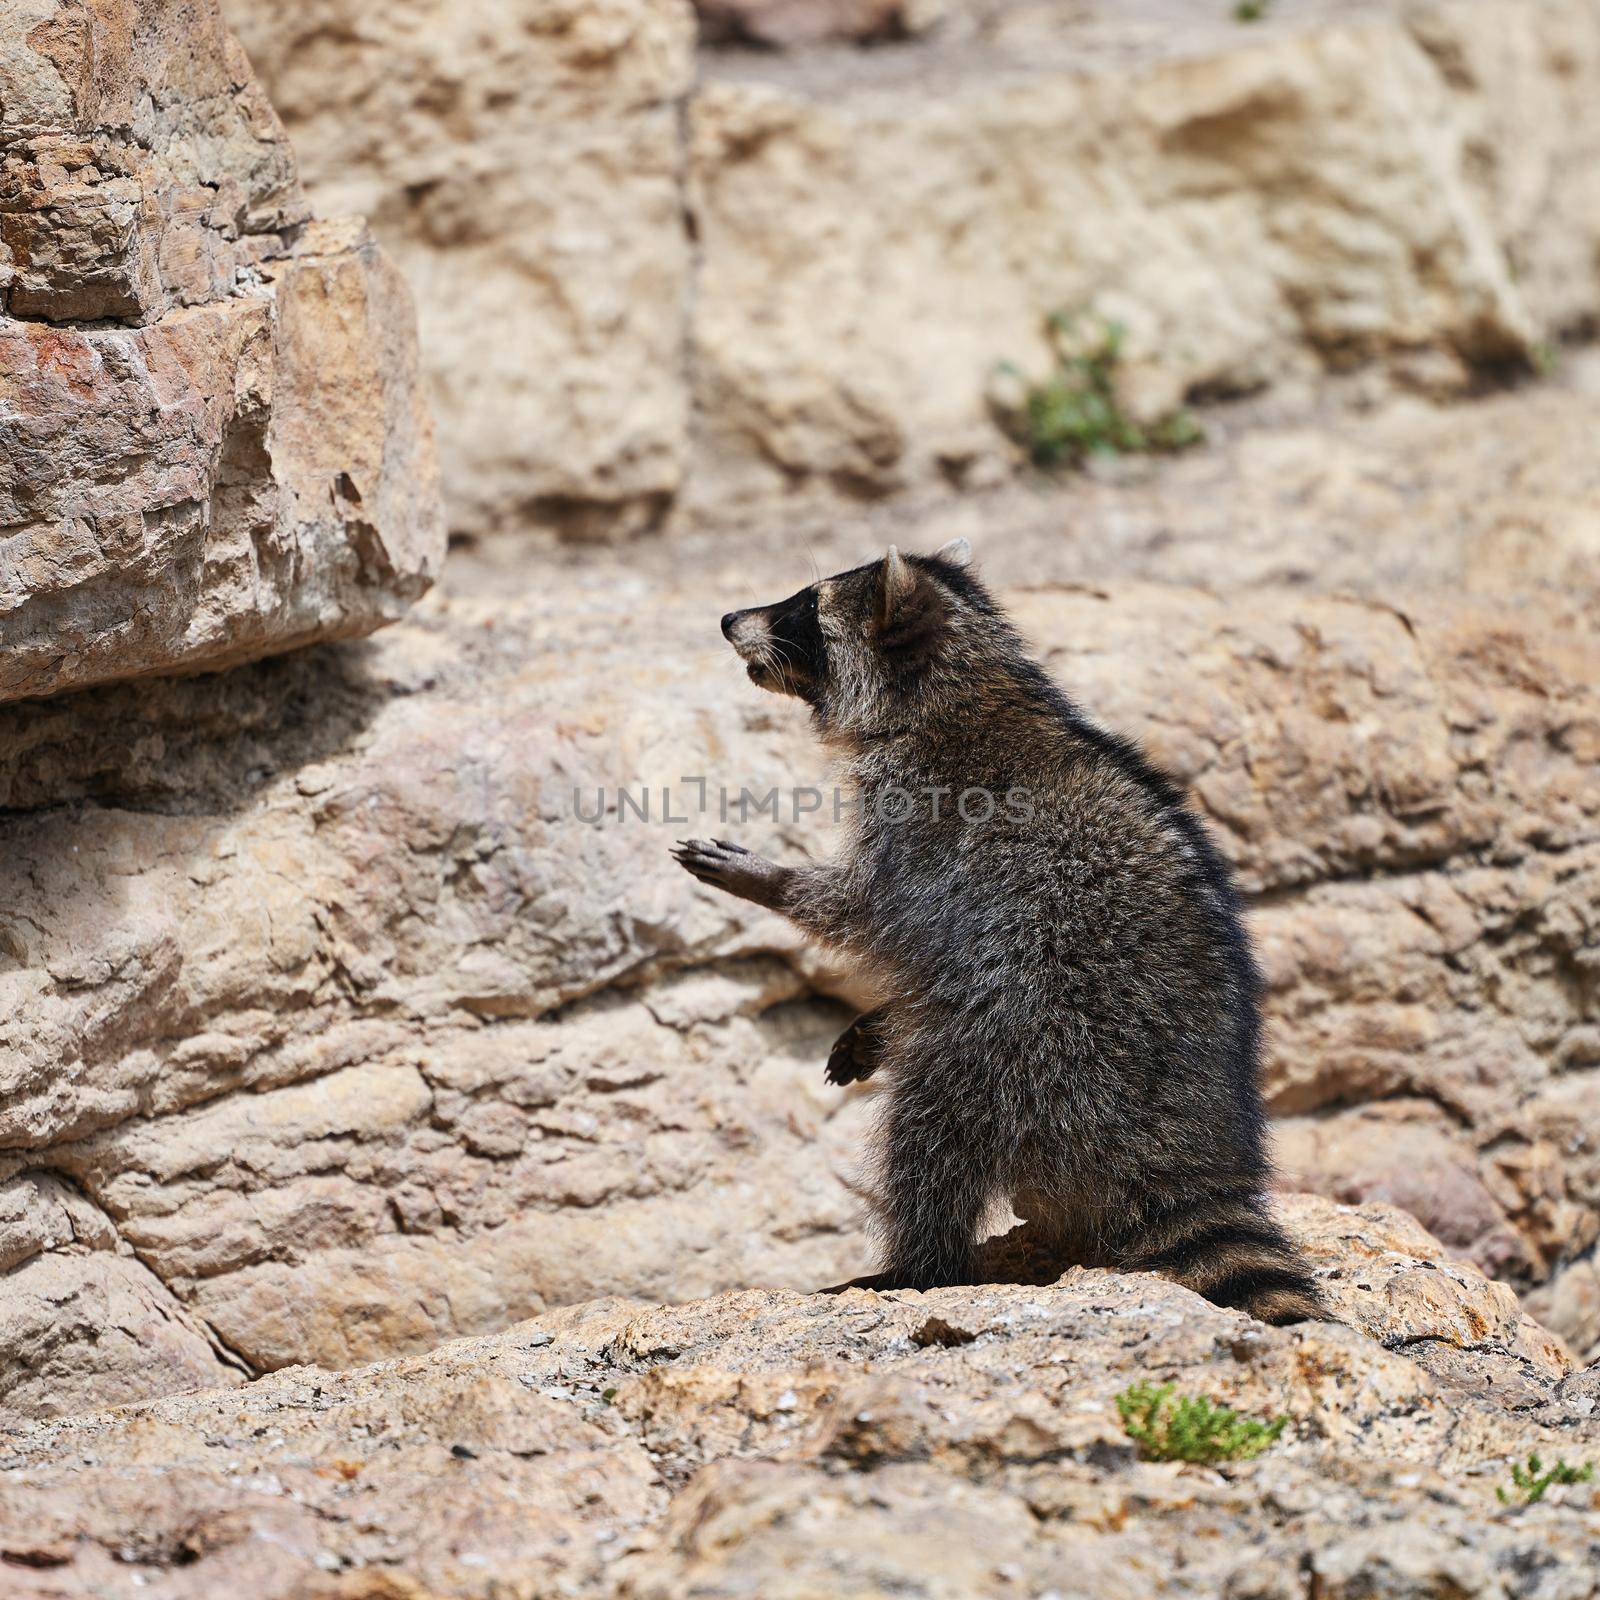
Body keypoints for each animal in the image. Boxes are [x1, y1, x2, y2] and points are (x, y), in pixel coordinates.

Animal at [675, 540, 1324, 1324]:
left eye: (803, 606)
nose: (726, 619)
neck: (958, 683)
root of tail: (1174, 1134)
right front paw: (875, 1021)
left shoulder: (926, 830)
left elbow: (872, 919)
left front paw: (770, 880)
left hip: (1029, 1042)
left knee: (926, 1132)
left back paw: (917, 1267)